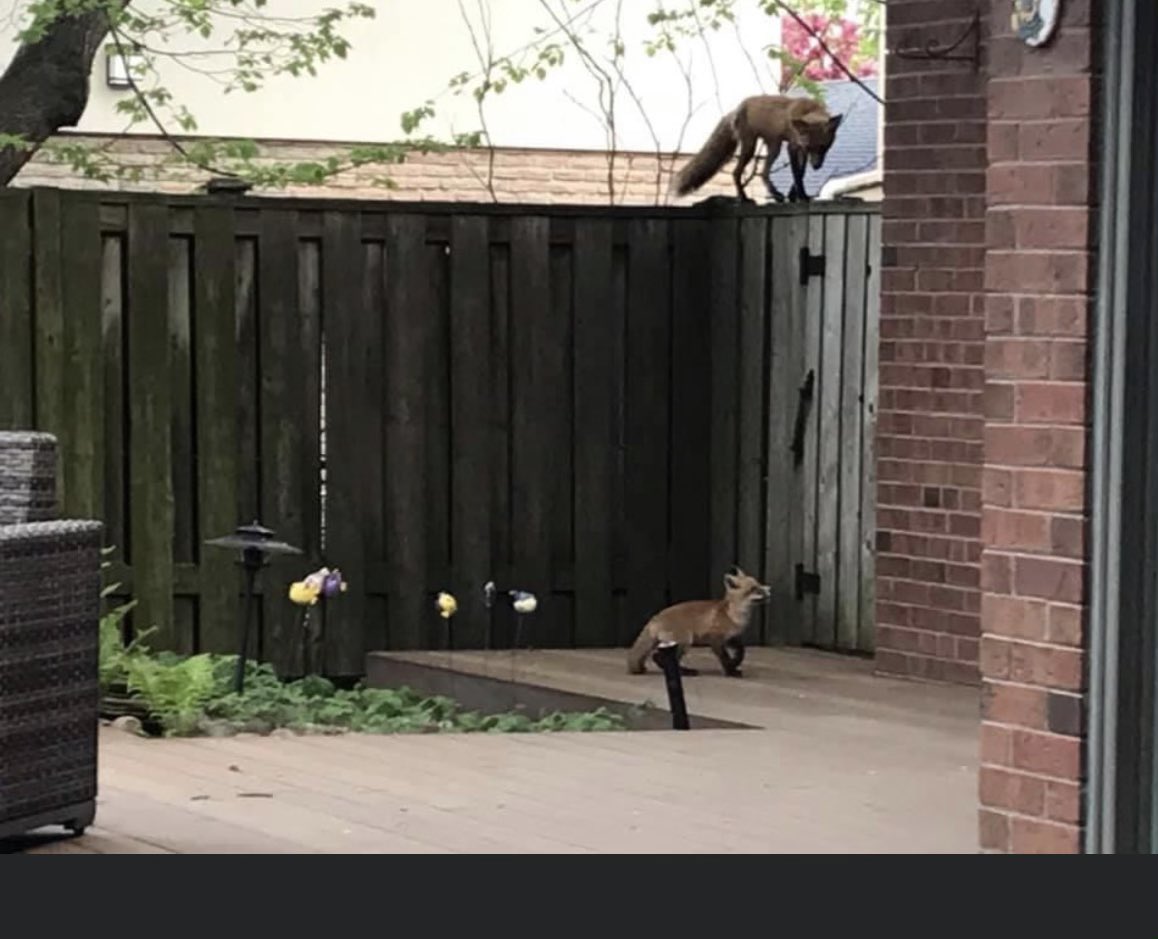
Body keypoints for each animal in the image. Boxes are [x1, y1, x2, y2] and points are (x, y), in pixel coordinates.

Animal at [626, 567, 772, 678]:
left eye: (759, 584)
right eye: (754, 589)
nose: (769, 590)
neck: (733, 615)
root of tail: (655, 617)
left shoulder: (731, 637)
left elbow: (742, 652)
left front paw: (735, 663)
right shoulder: (716, 639)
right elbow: (724, 658)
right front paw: (731, 671)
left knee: (658, 657)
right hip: (685, 641)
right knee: (659, 658)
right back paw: (685, 672)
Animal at [670, 94, 844, 205]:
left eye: (824, 147)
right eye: (810, 146)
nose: (817, 166)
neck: (808, 110)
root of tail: (737, 107)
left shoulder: (801, 151)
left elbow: (800, 174)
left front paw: (794, 196)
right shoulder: (794, 147)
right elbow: (797, 176)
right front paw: (802, 197)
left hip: (774, 147)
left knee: (763, 173)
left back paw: (775, 195)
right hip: (751, 147)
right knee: (737, 173)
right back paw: (744, 198)